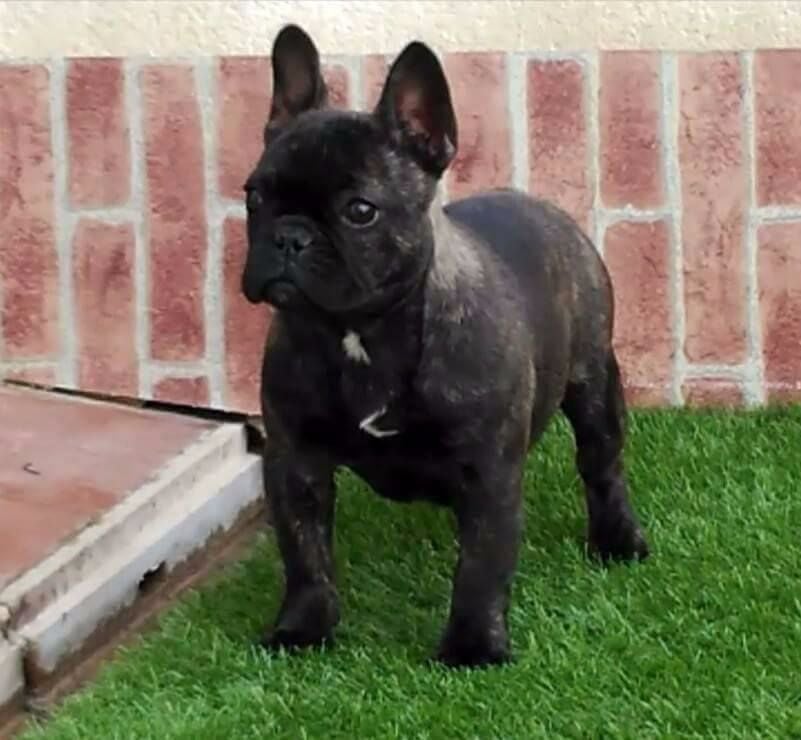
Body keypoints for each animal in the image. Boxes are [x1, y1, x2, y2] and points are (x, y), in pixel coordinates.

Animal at [241, 24, 649, 669]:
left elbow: (481, 565)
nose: (288, 237)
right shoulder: (293, 460)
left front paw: (473, 647)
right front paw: (302, 629)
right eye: (254, 198)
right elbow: (304, 554)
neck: (362, 332)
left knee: (602, 464)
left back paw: (617, 539)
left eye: (360, 211)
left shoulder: (488, 473)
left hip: (594, 384)